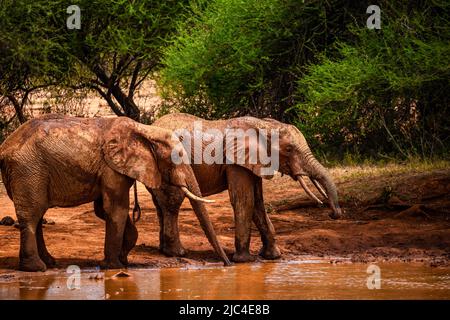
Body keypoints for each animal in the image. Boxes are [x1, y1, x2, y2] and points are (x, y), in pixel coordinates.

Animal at [0, 114, 230, 272]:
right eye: (178, 156)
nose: (227, 264)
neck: (145, 130)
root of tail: (4, 148)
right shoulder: (111, 167)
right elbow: (116, 209)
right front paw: (113, 265)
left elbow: (104, 210)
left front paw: (123, 259)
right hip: (28, 170)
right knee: (31, 215)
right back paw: (36, 268)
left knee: (37, 215)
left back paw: (50, 262)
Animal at [148, 112, 342, 262]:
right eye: (288, 149)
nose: (332, 213)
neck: (264, 125)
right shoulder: (235, 162)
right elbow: (244, 200)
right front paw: (244, 260)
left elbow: (258, 203)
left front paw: (273, 257)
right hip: (167, 164)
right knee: (173, 201)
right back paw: (177, 253)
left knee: (161, 204)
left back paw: (164, 251)